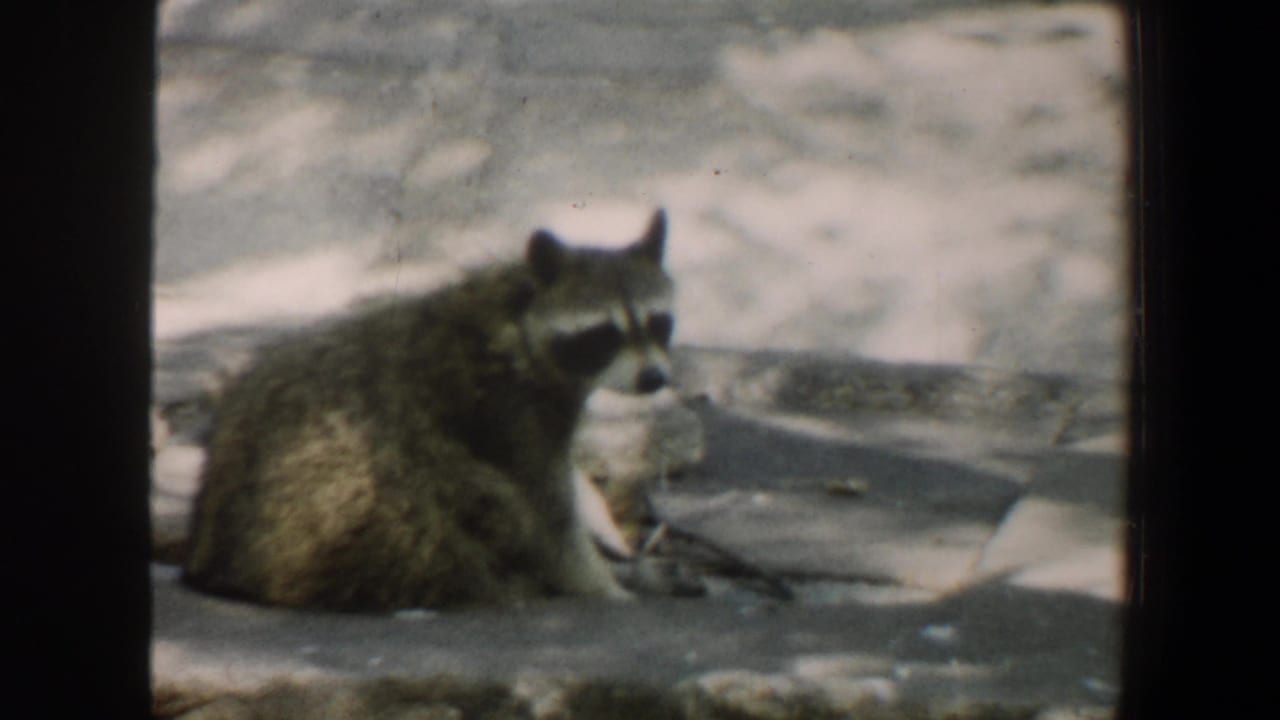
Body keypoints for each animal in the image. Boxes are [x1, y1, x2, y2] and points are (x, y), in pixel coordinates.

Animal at [182, 210, 676, 611]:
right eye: (604, 334)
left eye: (657, 323)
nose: (654, 378)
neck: (520, 314)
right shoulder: (510, 411)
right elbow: (549, 514)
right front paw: (598, 583)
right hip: (340, 515)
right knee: (438, 486)